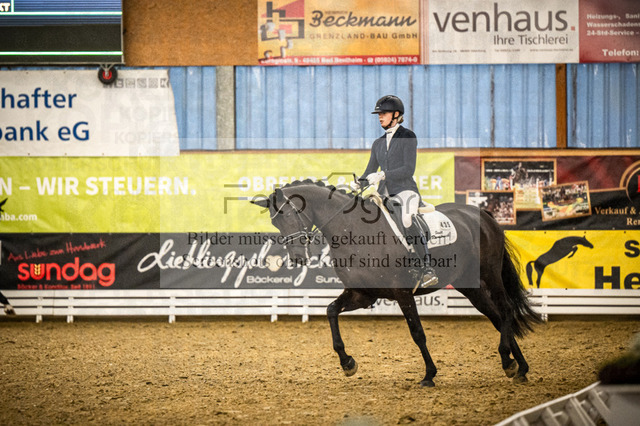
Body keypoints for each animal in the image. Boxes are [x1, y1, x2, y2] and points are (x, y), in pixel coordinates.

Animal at [251, 180, 541, 387]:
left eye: (289, 213)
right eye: (275, 221)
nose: (298, 258)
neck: (354, 231)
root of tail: (483, 214)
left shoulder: (402, 293)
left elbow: (417, 332)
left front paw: (429, 375)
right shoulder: (362, 294)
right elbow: (331, 310)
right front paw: (347, 363)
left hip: (490, 275)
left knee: (506, 310)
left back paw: (508, 360)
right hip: (471, 287)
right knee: (497, 318)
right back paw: (518, 367)